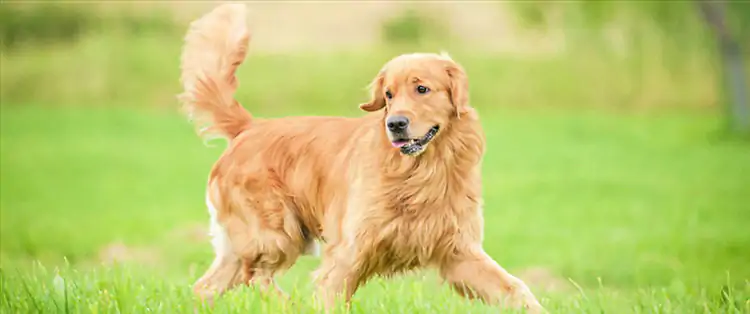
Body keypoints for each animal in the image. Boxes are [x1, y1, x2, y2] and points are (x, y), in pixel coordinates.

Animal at [181, 3, 548, 312]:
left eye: (422, 89)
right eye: (389, 94)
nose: (395, 124)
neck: (421, 172)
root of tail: (248, 127)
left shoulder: (459, 253)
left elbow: (516, 289)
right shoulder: (347, 253)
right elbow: (329, 296)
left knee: (208, 286)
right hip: (276, 234)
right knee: (255, 276)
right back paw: (288, 304)